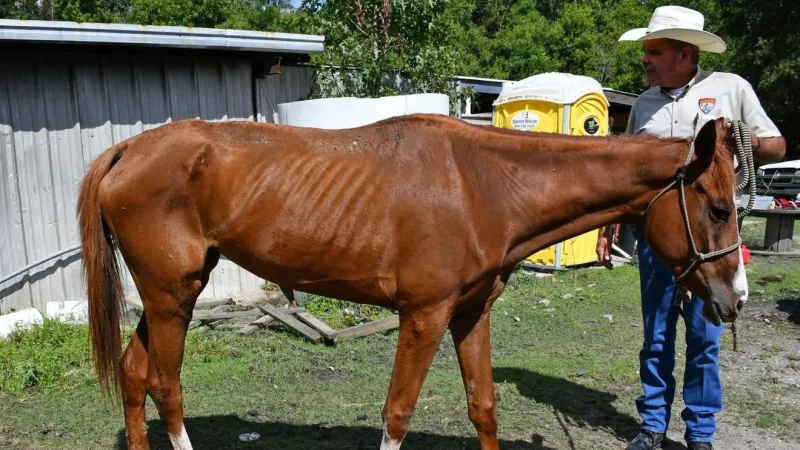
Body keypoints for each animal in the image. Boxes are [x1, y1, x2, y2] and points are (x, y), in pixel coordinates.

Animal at [77, 113, 747, 450]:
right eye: (718, 208)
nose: (734, 299)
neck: (483, 185)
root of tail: (128, 149)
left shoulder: (470, 314)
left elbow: (484, 408)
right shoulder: (423, 317)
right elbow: (396, 415)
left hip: (169, 298)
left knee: (135, 378)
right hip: (173, 299)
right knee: (166, 389)